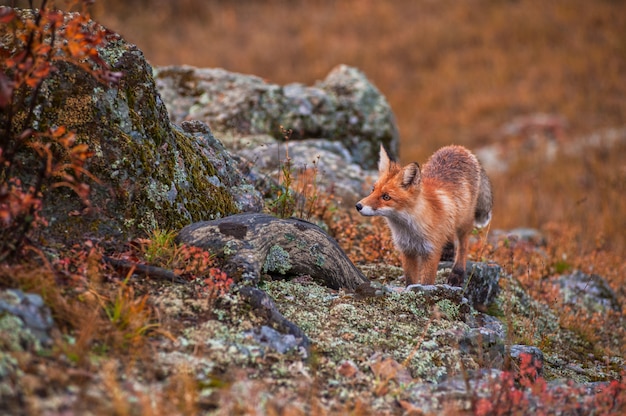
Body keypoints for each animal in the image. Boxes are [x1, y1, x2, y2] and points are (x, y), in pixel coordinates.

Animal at [354, 145, 490, 286]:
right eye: (373, 190)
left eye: (386, 197)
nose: (358, 206)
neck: (410, 230)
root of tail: (458, 147)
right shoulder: (407, 251)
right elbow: (410, 280)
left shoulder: (431, 252)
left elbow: (427, 282)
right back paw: (448, 249)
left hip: (465, 221)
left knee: (463, 246)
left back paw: (457, 272)